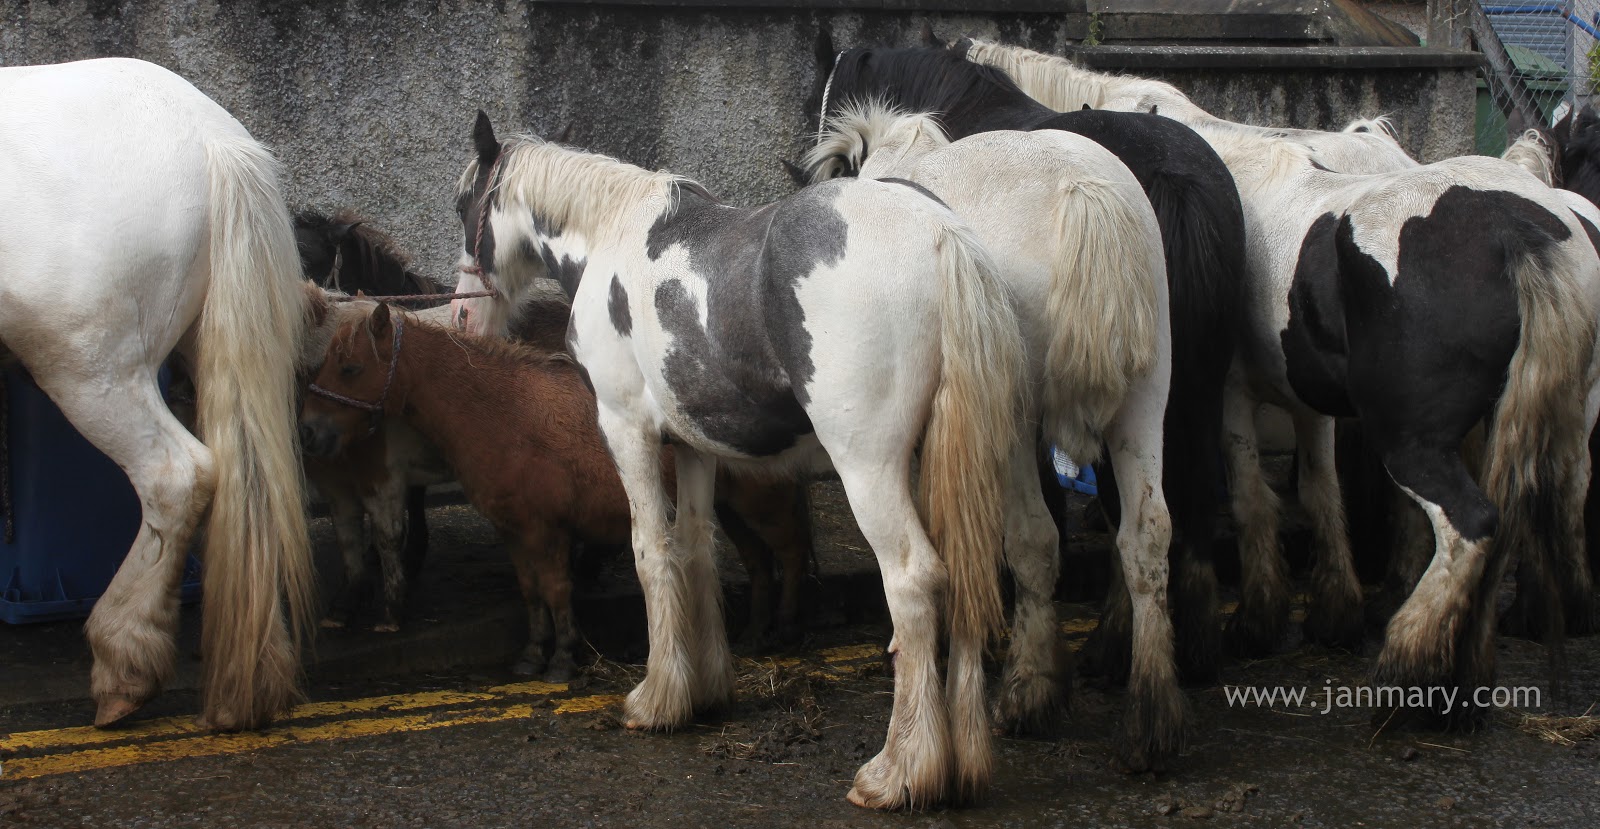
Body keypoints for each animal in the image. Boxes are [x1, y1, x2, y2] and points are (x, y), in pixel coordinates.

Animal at [297, 302, 812, 678]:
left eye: (349, 368)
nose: (308, 431)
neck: (506, 413)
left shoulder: (547, 532)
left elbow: (557, 589)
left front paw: (564, 658)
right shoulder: (514, 532)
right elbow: (531, 592)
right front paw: (533, 653)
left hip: (761, 505)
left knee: (788, 552)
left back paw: (787, 624)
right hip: (732, 510)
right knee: (759, 563)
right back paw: (754, 634)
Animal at [451, 113, 1024, 809]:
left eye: (462, 204)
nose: (460, 315)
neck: (612, 234)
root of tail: (941, 236)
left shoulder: (626, 430)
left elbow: (651, 551)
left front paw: (654, 700)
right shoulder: (694, 447)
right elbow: (696, 548)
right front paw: (702, 692)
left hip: (869, 468)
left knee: (915, 582)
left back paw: (898, 772)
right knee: (970, 575)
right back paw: (961, 767)